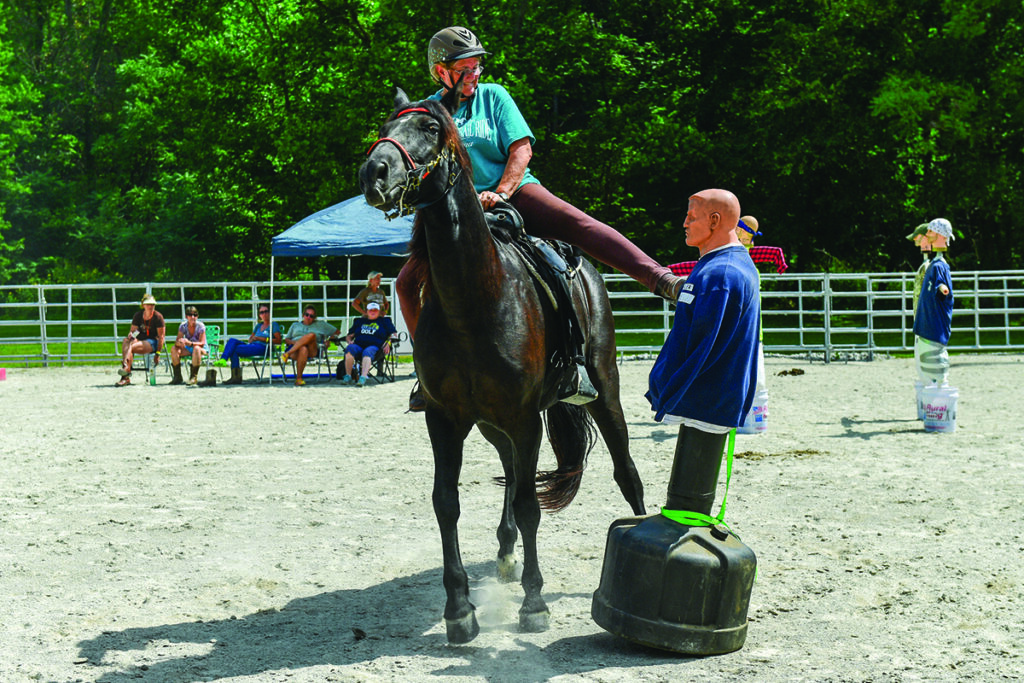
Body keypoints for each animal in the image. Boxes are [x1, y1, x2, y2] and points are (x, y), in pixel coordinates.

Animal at [360, 87, 643, 647]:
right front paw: (458, 610)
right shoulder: (446, 418)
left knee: (625, 472)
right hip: (493, 425)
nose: (374, 171)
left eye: (429, 129)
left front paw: (534, 605)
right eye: (384, 127)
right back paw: (506, 554)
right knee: (513, 474)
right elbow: (446, 502)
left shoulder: (524, 417)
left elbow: (532, 505)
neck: (476, 299)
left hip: (604, 392)